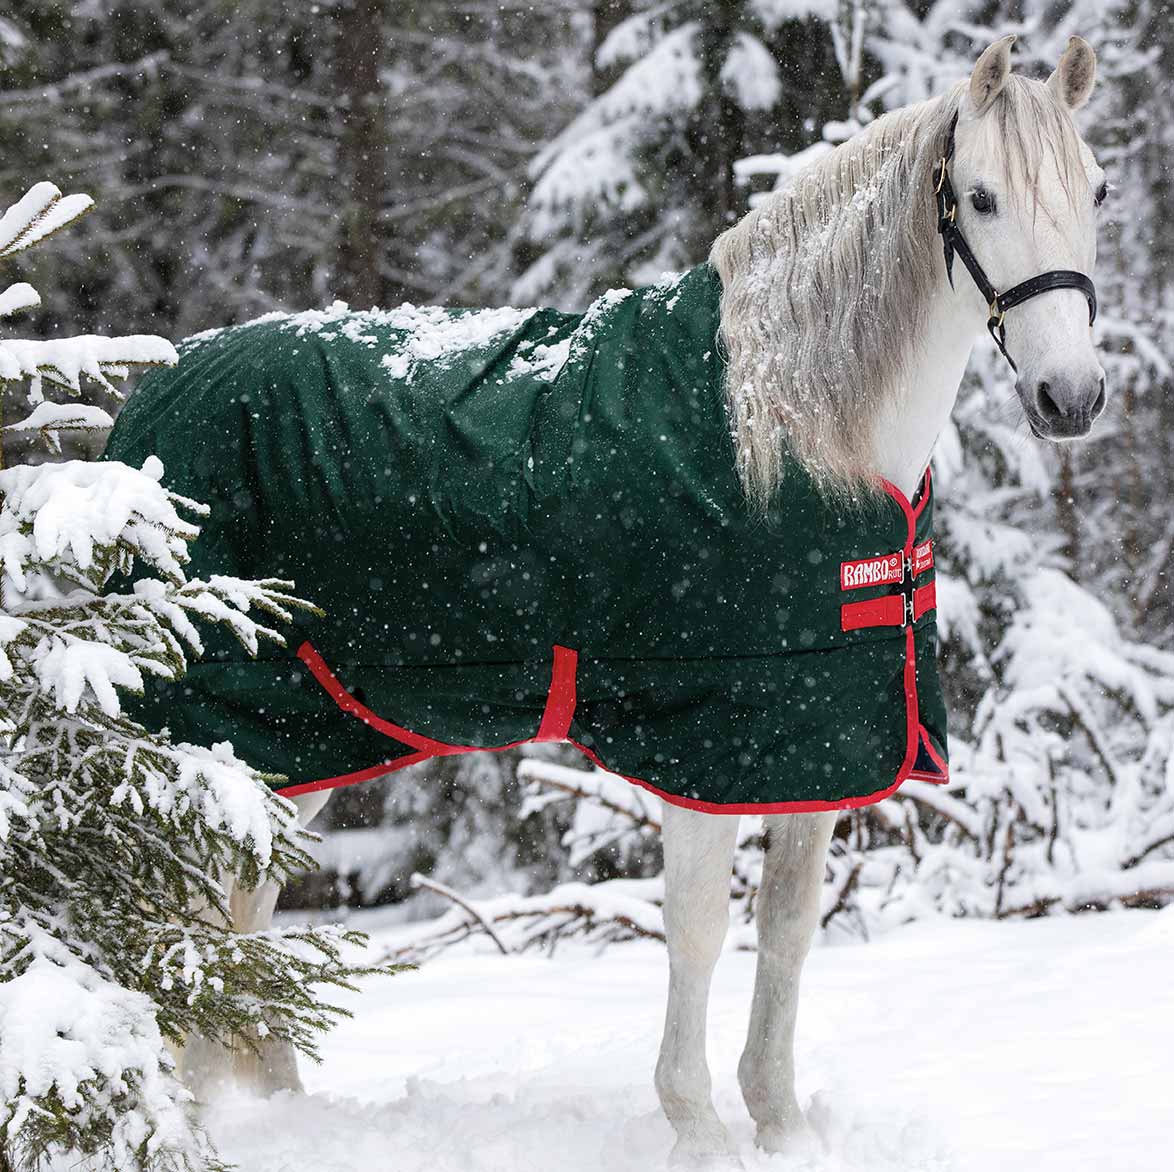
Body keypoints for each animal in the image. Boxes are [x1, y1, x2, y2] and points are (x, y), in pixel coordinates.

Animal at [114, 34, 1107, 1166]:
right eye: (981, 197)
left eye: (1098, 190)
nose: (1072, 397)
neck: (793, 437)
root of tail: (157, 389)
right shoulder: (708, 744)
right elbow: (699, 930)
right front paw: (700, 1127)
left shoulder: (811, 738)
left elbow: (789, 928)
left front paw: (780, 1122)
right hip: (218, 725)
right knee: (187, 907)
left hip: (302, 737)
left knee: (243, 903)